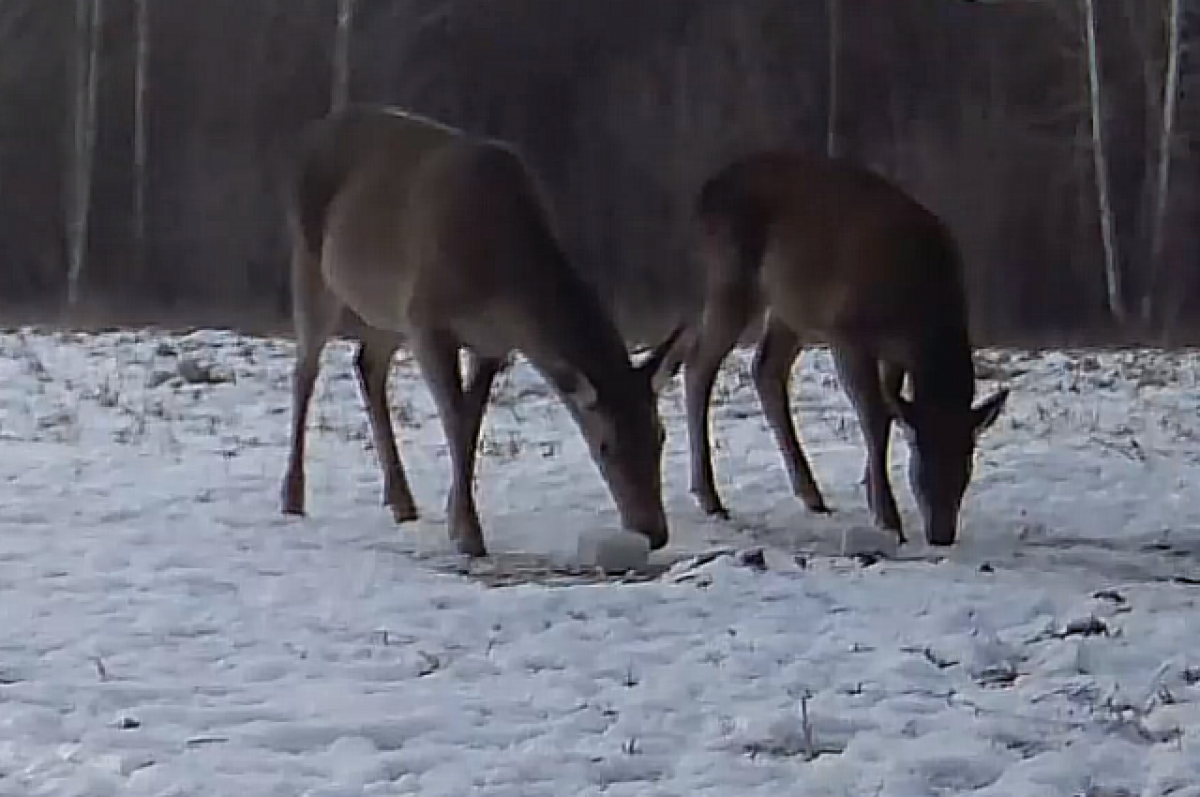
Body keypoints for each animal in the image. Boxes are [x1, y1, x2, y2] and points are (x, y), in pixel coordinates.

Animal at [274, 102, 681, 556]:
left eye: (661, 435)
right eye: (605, 446)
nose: (654, 532)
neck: (502, 278)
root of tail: (310, 134)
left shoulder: (492, 342)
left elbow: (471, 422)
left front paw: (457, 517)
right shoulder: (429, 318)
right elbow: (454, 419)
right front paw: (469, 534)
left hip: (387, 309)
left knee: (368, 365)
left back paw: (401, 502)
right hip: (311, 264)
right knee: (304, 372)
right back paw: (293, 497)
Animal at [681, 149, 1008, 547]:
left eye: (966, 468)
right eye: (922, 469)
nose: (942, 535)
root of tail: (705, 194)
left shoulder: (894, 352)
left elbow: (888, 409)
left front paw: (872, 489)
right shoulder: (848, 333)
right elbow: (875, 416)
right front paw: (888, 517)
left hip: (791, 306)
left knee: (765, 368)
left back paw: (811, 495)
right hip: (732, 277)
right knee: (699, 364)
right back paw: (710, 498)